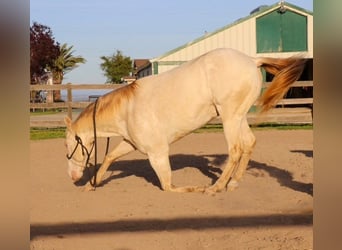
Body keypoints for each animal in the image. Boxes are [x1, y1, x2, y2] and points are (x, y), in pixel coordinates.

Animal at [64, 48, 308, 193]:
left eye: (68, 145)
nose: (73, 177)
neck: (127, 109)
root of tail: (251, 60)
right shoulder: (131, 143)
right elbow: (109, 158)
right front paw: (91, 186)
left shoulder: (157, 152)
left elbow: (168, 186)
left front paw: (195, 189)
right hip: (239, 117)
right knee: (249, 144)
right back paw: (233, 182)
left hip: (229, 118)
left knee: (236, 150)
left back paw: (216, 187)